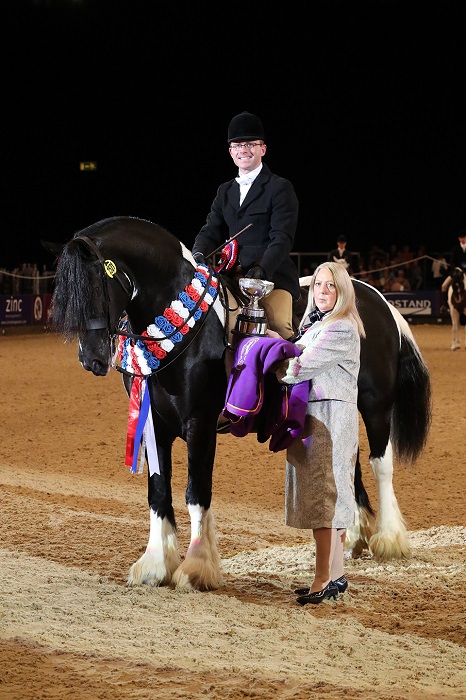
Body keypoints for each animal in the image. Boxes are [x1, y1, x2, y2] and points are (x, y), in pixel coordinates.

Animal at [48, 216, 432, 592]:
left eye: (96, 286)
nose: (92, 359)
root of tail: (376, 298)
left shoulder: (200, 424)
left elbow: (196, 493)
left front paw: (196, 569)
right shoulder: (154, 424)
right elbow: (158, 493)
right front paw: (156, 565)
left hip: (375, 405)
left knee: (380, 464)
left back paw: (389, 539)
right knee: (347, 465)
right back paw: (353, 537)